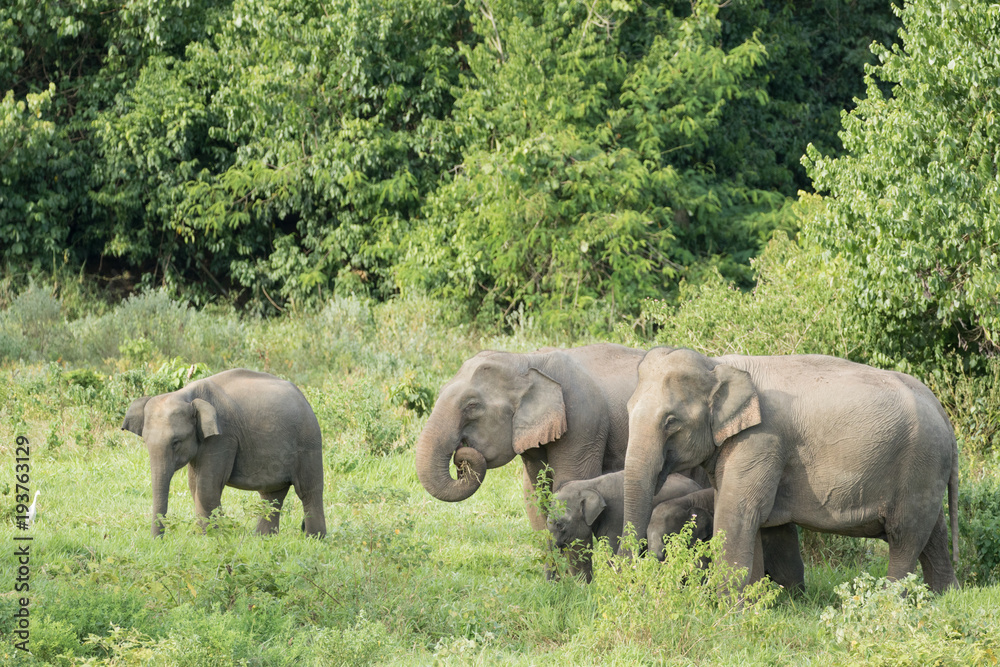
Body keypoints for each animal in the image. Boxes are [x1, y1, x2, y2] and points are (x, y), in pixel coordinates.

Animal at [122, 369, 326, 538]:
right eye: (146, 442)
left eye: (176, 442)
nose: (158, 540)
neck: (186, 395)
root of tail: (304, 398)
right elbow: (194, 486)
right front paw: (206, 535)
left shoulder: (223, 437)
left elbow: (205, 488)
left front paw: (213, 536)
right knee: (271, 495)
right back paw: (263, 538)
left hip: (308, 442)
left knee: (309, 492)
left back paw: (314, 538)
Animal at [623, 347, 959, 594]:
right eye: (627, 410)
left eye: (671, 421)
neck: (718, 364)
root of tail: (942, 412)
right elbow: (758, 523)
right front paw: (758, 605)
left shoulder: (761, 439)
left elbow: (738, 512)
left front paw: (729, 611)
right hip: (927, 469)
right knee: (933, 533)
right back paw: (945, 597)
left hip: (921, 461)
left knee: (905, 535)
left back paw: (888, 602)